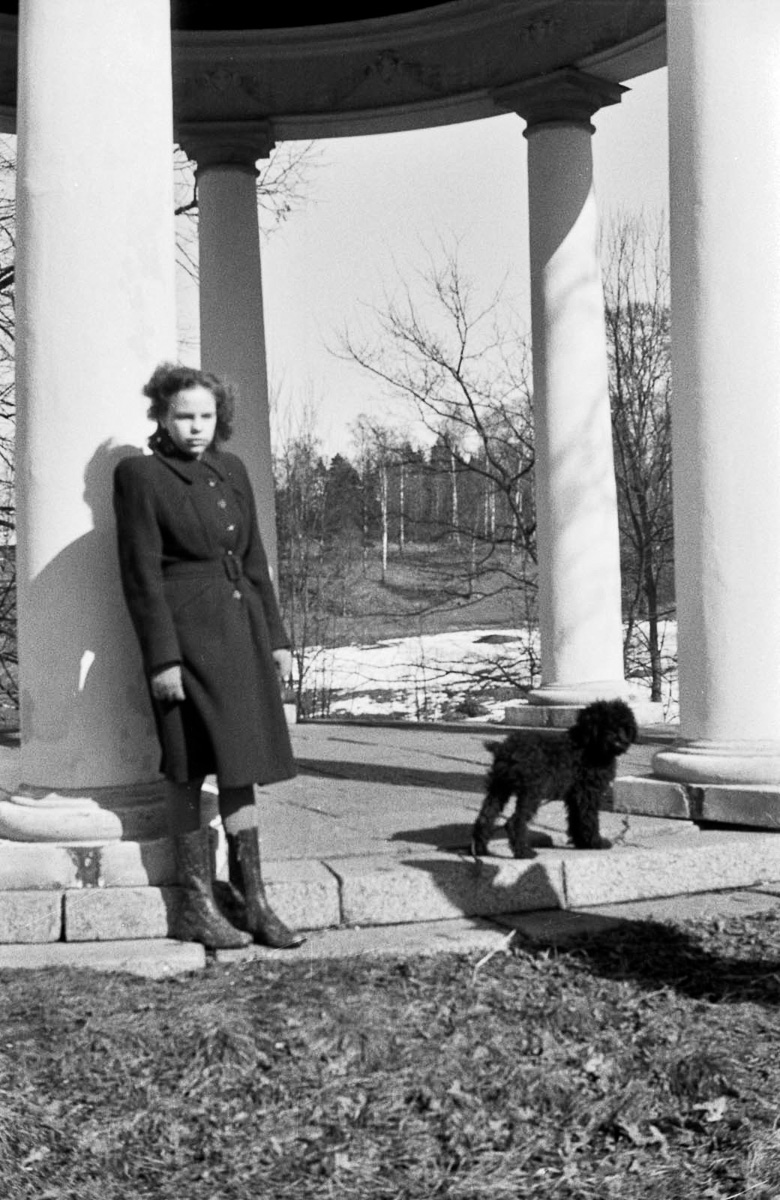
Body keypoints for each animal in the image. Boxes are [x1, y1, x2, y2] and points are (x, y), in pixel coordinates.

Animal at [470, 700, 633, 859]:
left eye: (623, 726)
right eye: (604, 725)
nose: (618, 740)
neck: (589, 746)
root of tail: (506, 750)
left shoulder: (575, 796)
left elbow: (575, 819)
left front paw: (581, 843)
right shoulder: (588, 793)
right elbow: (589, 818)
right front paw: (596, 843)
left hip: (499, 787)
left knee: (485, 817)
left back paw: (480, 849)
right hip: (531, 792)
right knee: (514, 822)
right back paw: (524, 852)